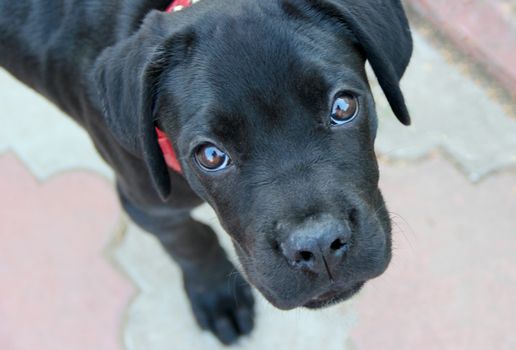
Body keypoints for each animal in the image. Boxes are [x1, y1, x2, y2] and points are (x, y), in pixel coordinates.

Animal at [0, 0, 412, 344]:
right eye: (212, 155)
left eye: (343, 107)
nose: (319, 245)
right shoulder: (147, 206)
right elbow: (190, 241)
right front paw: (217, 298)